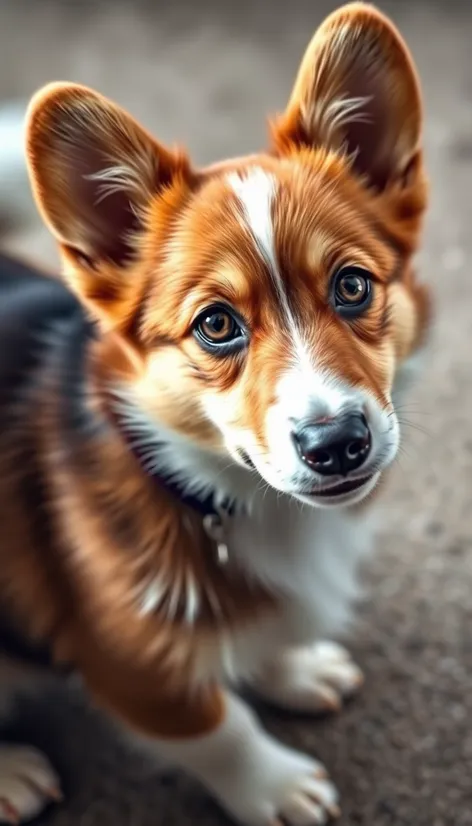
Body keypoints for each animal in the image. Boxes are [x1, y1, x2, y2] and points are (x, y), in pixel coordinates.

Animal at [0, 3, 432, 820]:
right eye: (217, 325)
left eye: (353, 285)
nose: (337, 443)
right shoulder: (129, 663)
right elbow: (214, 726)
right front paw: (280, 788)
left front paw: (295, 669)